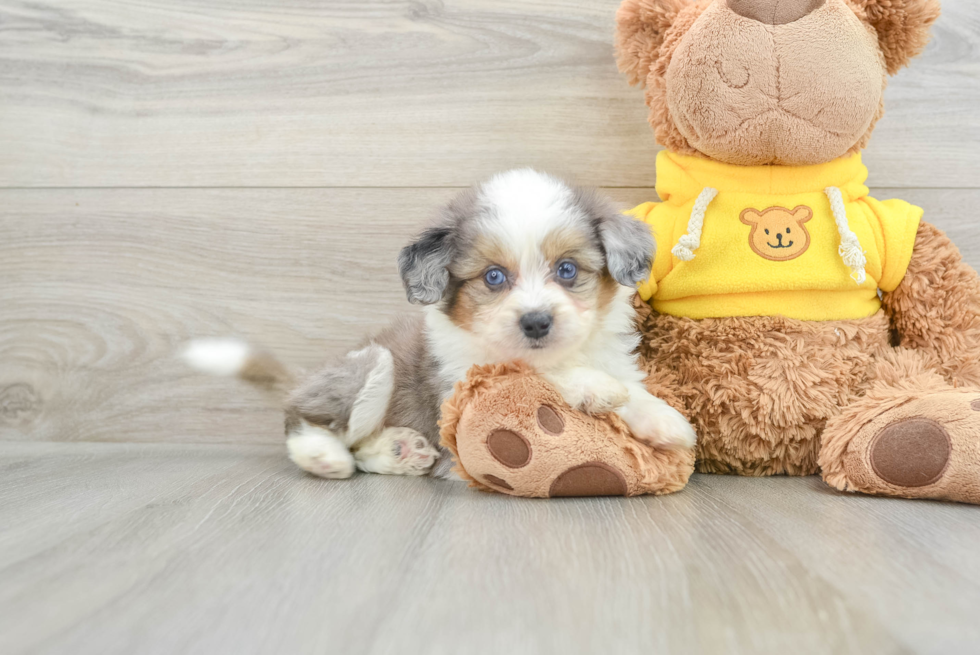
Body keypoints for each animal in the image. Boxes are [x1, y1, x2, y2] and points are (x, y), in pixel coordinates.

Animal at [182, 169, 688, 480]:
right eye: (493, 277)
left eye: (567, 270)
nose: (536, 323)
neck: (567, 352)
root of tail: (308, 379)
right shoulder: (464, 381)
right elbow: (533, 371)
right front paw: (593, 387)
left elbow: (633, 393)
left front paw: (665, 421)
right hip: (371, 364)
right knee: (303, 420)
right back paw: (324, 456)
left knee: (360, 446)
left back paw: (399, 452)